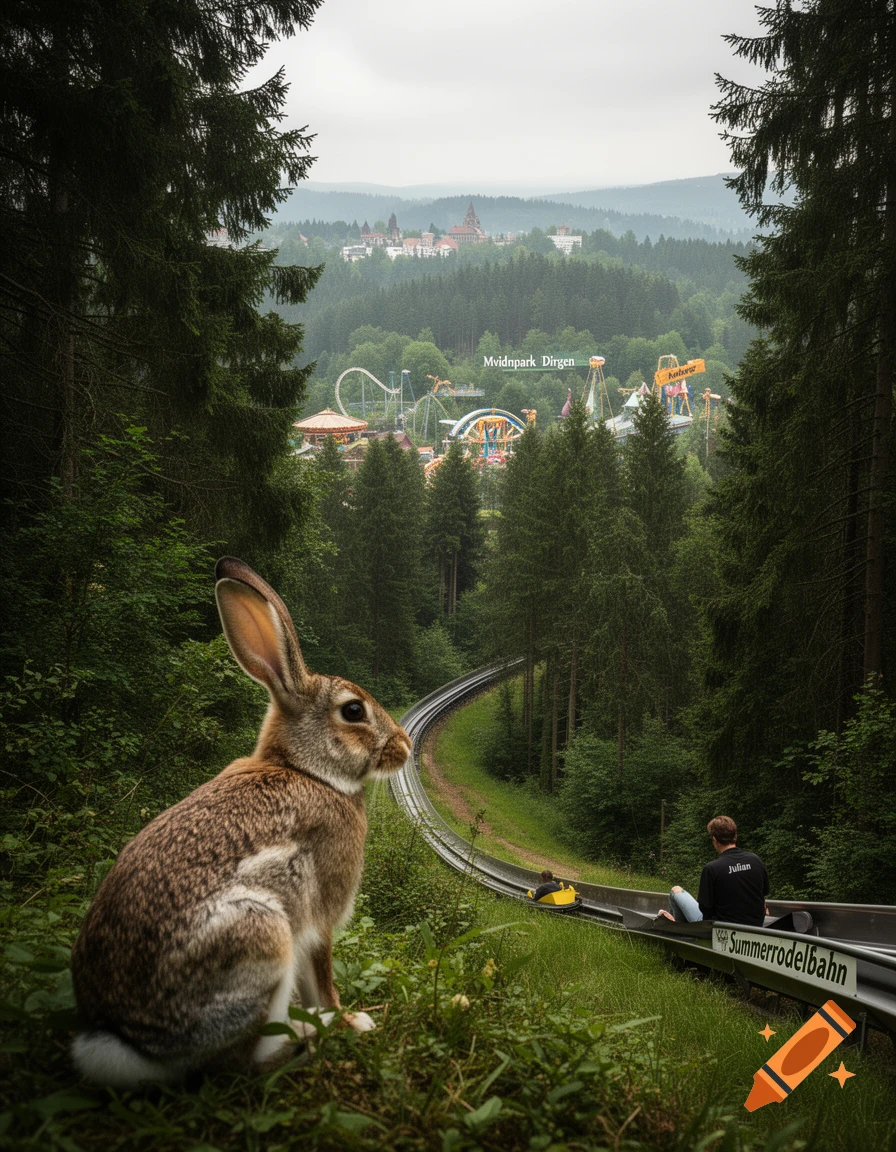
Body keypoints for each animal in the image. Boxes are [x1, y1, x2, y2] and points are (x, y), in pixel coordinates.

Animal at [70, 556, 412, 1088]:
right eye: (353, 711)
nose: (405, 746)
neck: (307, 770)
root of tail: (128, 1038)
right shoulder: (318, 920)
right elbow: (323, 979)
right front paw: (352, 1021)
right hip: (261, 937)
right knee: (238, 1062)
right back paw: (304, 1041)